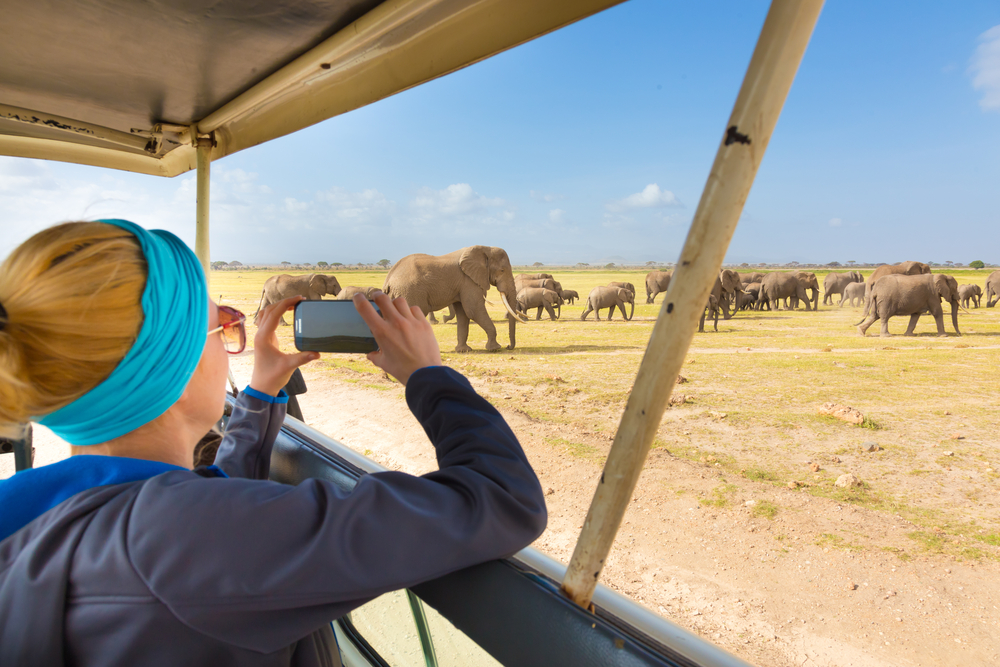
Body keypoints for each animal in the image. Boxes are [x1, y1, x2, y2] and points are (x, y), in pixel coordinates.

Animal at [383, 245, 527, 352]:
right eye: (502, 270)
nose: (508, 346)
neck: (485, 248)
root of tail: (389, 279)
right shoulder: (468, 281)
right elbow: (474, 310)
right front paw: (495, 348)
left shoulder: (462, 284)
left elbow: (463, 314)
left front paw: (463, 350)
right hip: (409, 292)